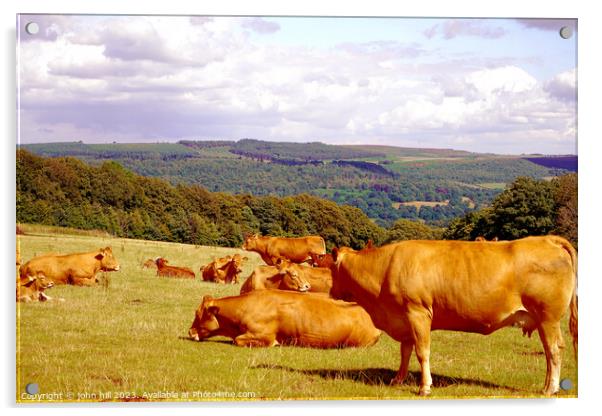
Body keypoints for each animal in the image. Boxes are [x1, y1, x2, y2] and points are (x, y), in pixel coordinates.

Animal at [328, 237, 576, 396]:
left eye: (331, 268)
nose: (330, 292)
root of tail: (547, 239)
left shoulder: (418, 313)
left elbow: (422, 352)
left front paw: (425, 387)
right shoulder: (404, 319)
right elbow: (405, 352)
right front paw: (397, 380)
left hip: (548, 318)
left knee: (554, 350)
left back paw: (550, 388)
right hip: (544, 321)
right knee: (549, 352)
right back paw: (547, 386)